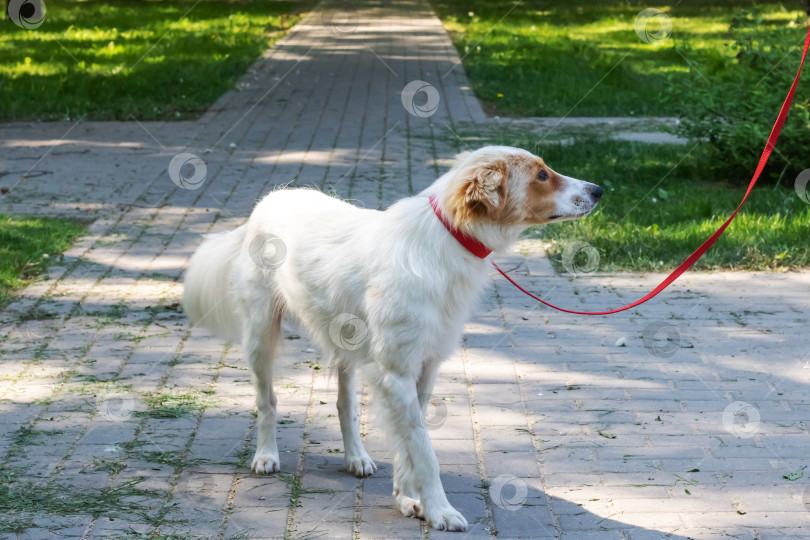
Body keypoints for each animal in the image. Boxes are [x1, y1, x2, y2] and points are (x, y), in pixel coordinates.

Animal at [183, 146, 600, 528]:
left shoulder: (423, 370)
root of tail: (266, 203)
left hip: (345, 344)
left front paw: (407, 497)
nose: (599, 189)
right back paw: (266, 455)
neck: (444, 242)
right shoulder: (396, 371)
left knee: (345, 405)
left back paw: (356, 457)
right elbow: (423, 448)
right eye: (541, 175)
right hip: (261, 336)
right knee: (267, 401)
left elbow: (406, 442)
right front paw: (439, 509)